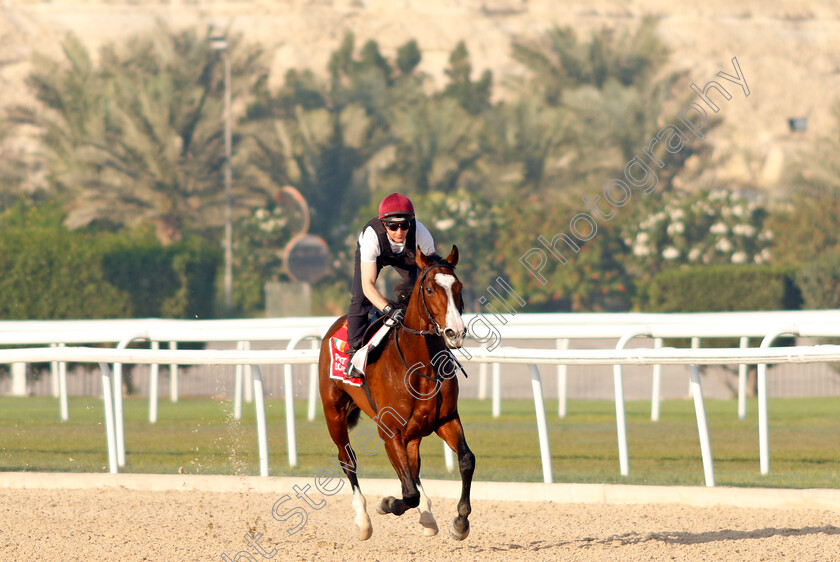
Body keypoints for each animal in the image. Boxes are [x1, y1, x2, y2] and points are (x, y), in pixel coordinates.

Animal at [316, 246, 472, 540]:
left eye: (458, 287)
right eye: (430, 289)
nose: (455, 332)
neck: (420, 366)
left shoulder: (446, 420)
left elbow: (466, 460)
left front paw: (460, 522)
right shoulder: (389, 431)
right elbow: (408, 493)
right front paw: (386, 504)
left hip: (413, 433)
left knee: (413, 467)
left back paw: (427, 517)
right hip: (334, 413)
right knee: (348, 460)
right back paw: (363, 521)